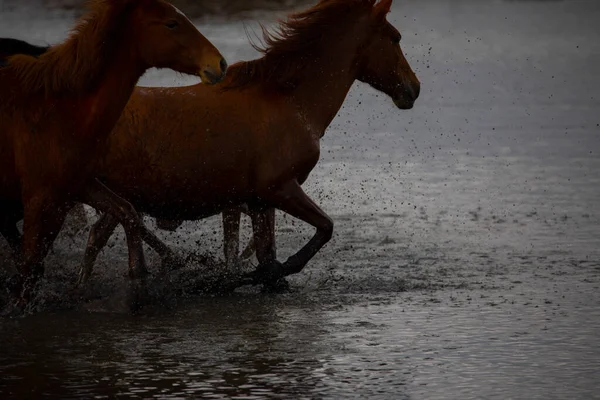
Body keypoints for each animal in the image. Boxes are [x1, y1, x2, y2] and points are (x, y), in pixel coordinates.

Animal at [0, 0, 227, 310]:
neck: (57, 111)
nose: (219, 64)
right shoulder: (40, 199)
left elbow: (126, 212)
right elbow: (30, 269)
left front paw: (138, 279)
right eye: (171, 23)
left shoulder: (76, 185)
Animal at [75, 0, 420, 290]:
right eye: (395, 38)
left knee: (98, 235)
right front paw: (249, 276)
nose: (413, 89)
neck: (295, 103)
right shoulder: (278, 188)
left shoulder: (257, 201)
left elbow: (265, 251)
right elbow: (322, 230)